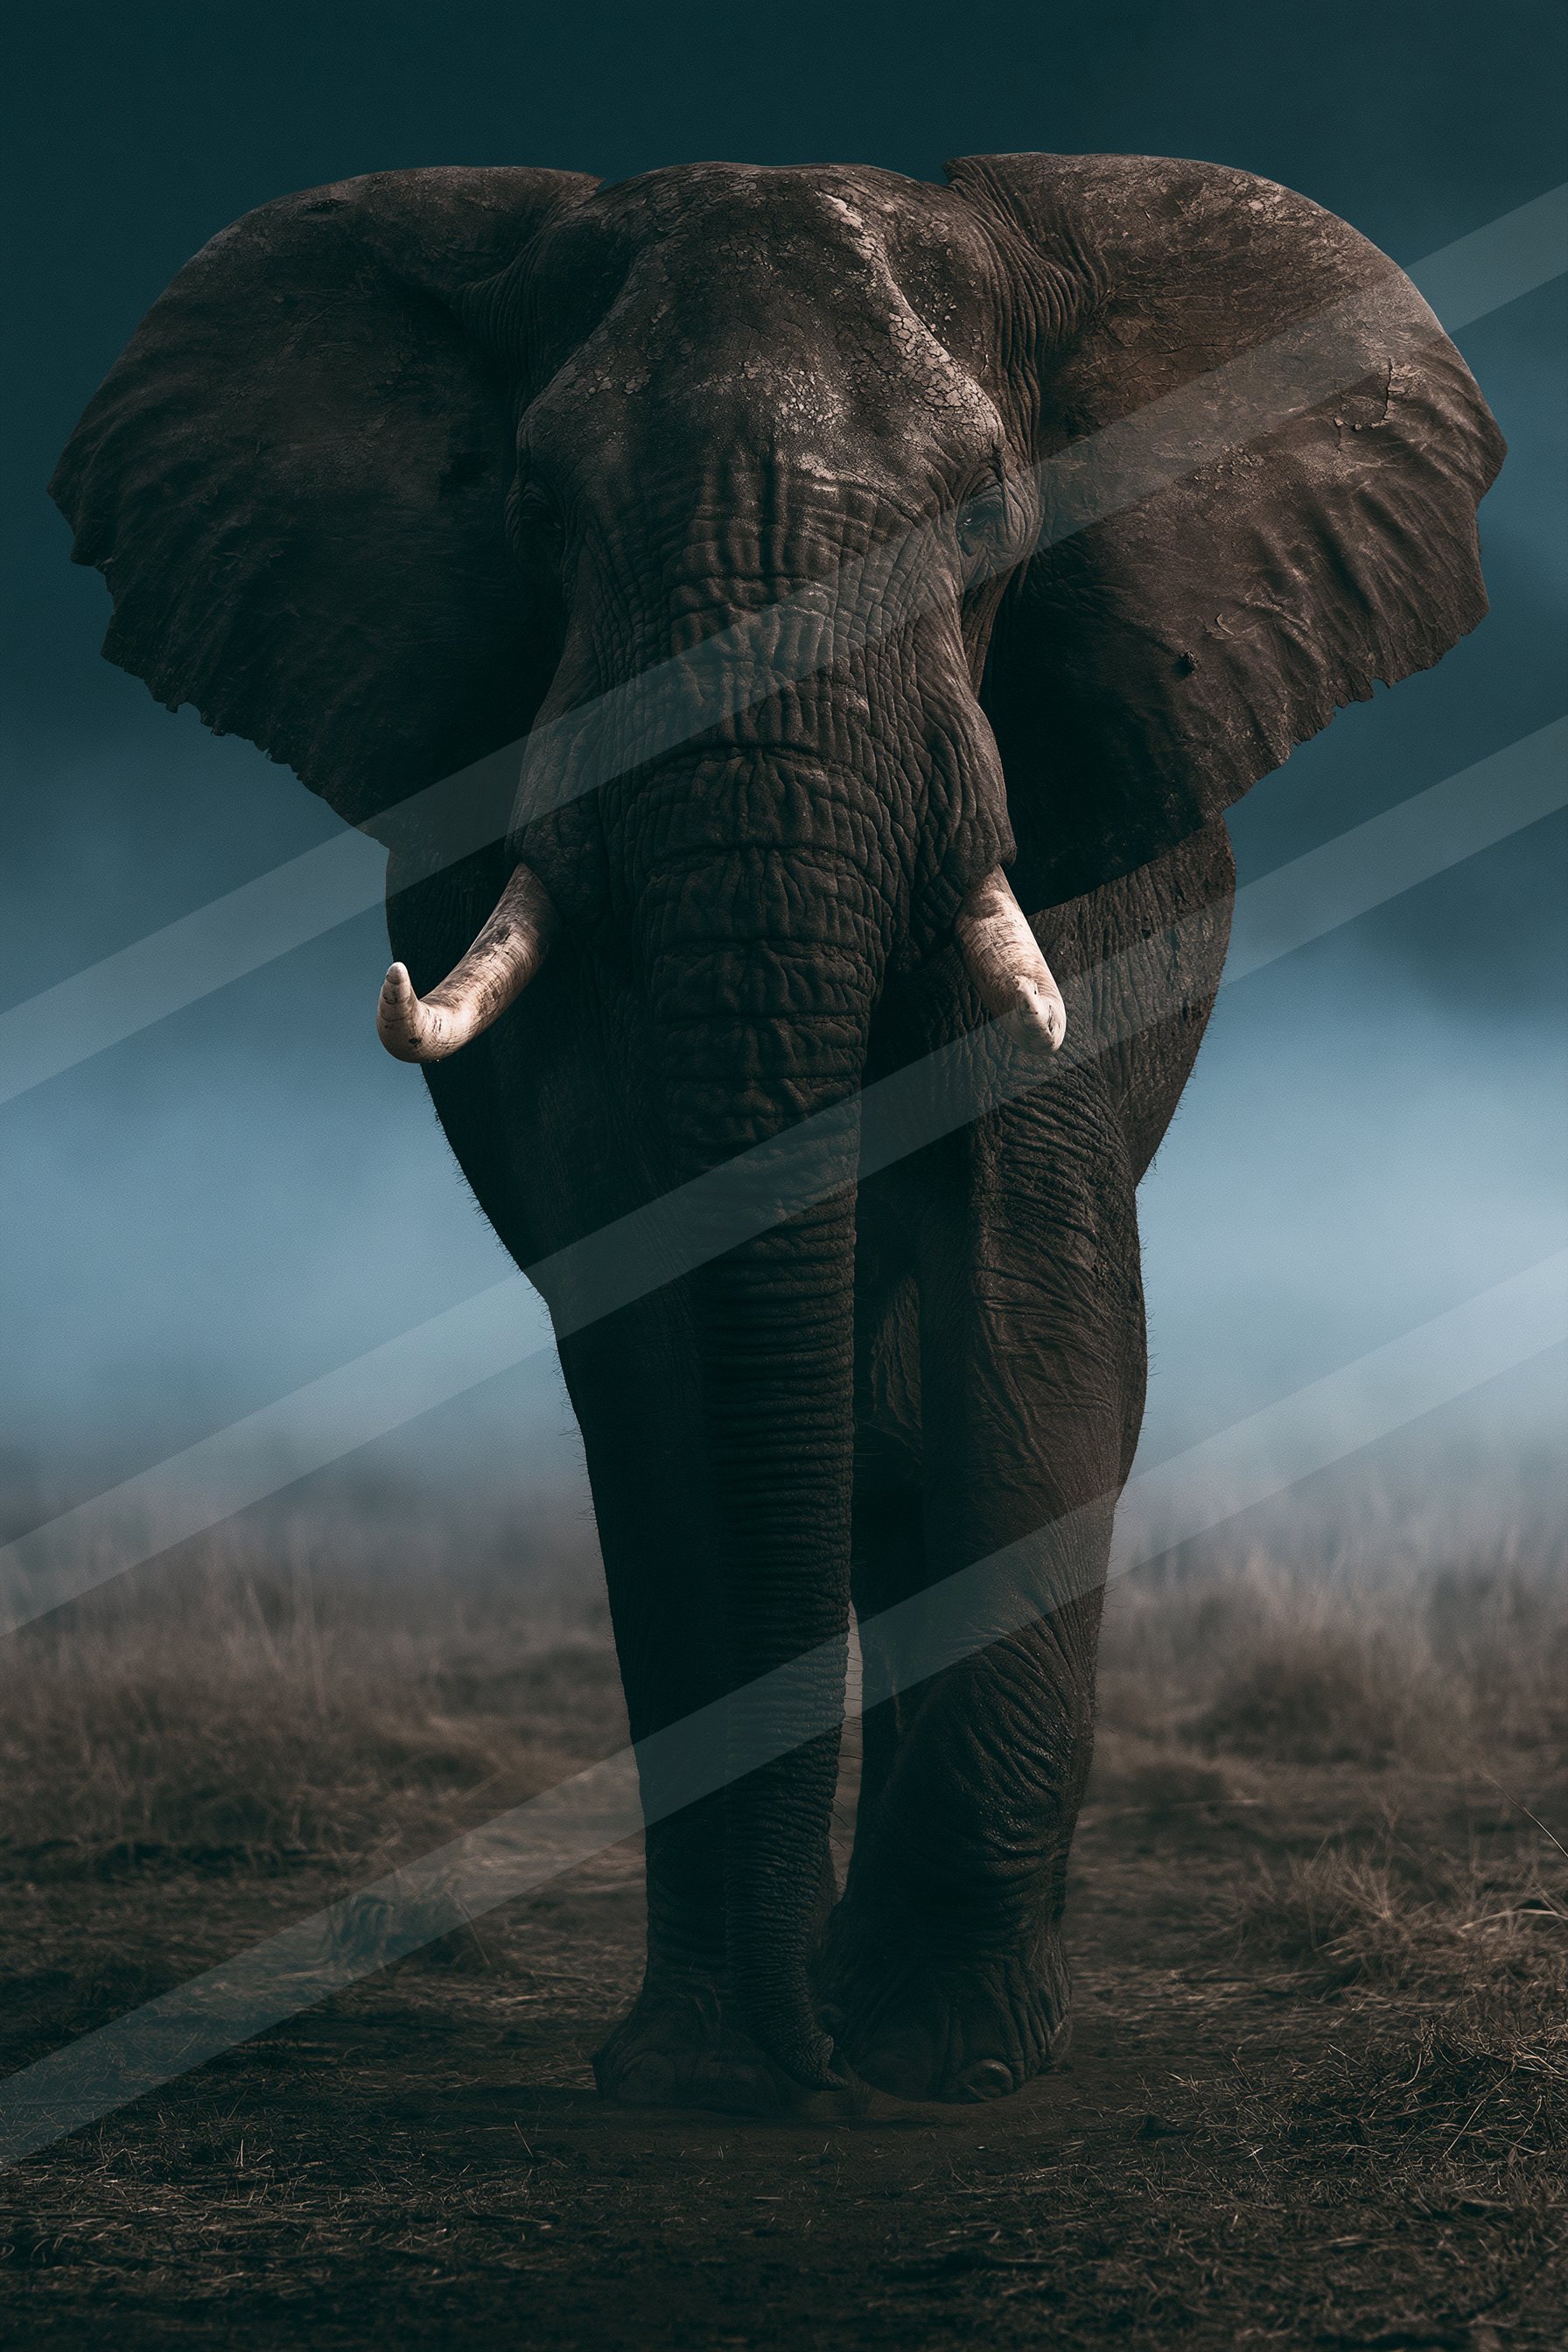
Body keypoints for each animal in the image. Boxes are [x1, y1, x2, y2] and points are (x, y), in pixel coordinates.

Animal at [51, 152, 1502, 2114]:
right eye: (533, 509)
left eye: (988, 517)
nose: (783, 2052)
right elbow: (651, 1358)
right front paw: (705, 2067)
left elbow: (1027, 1301)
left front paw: (941, 2054)